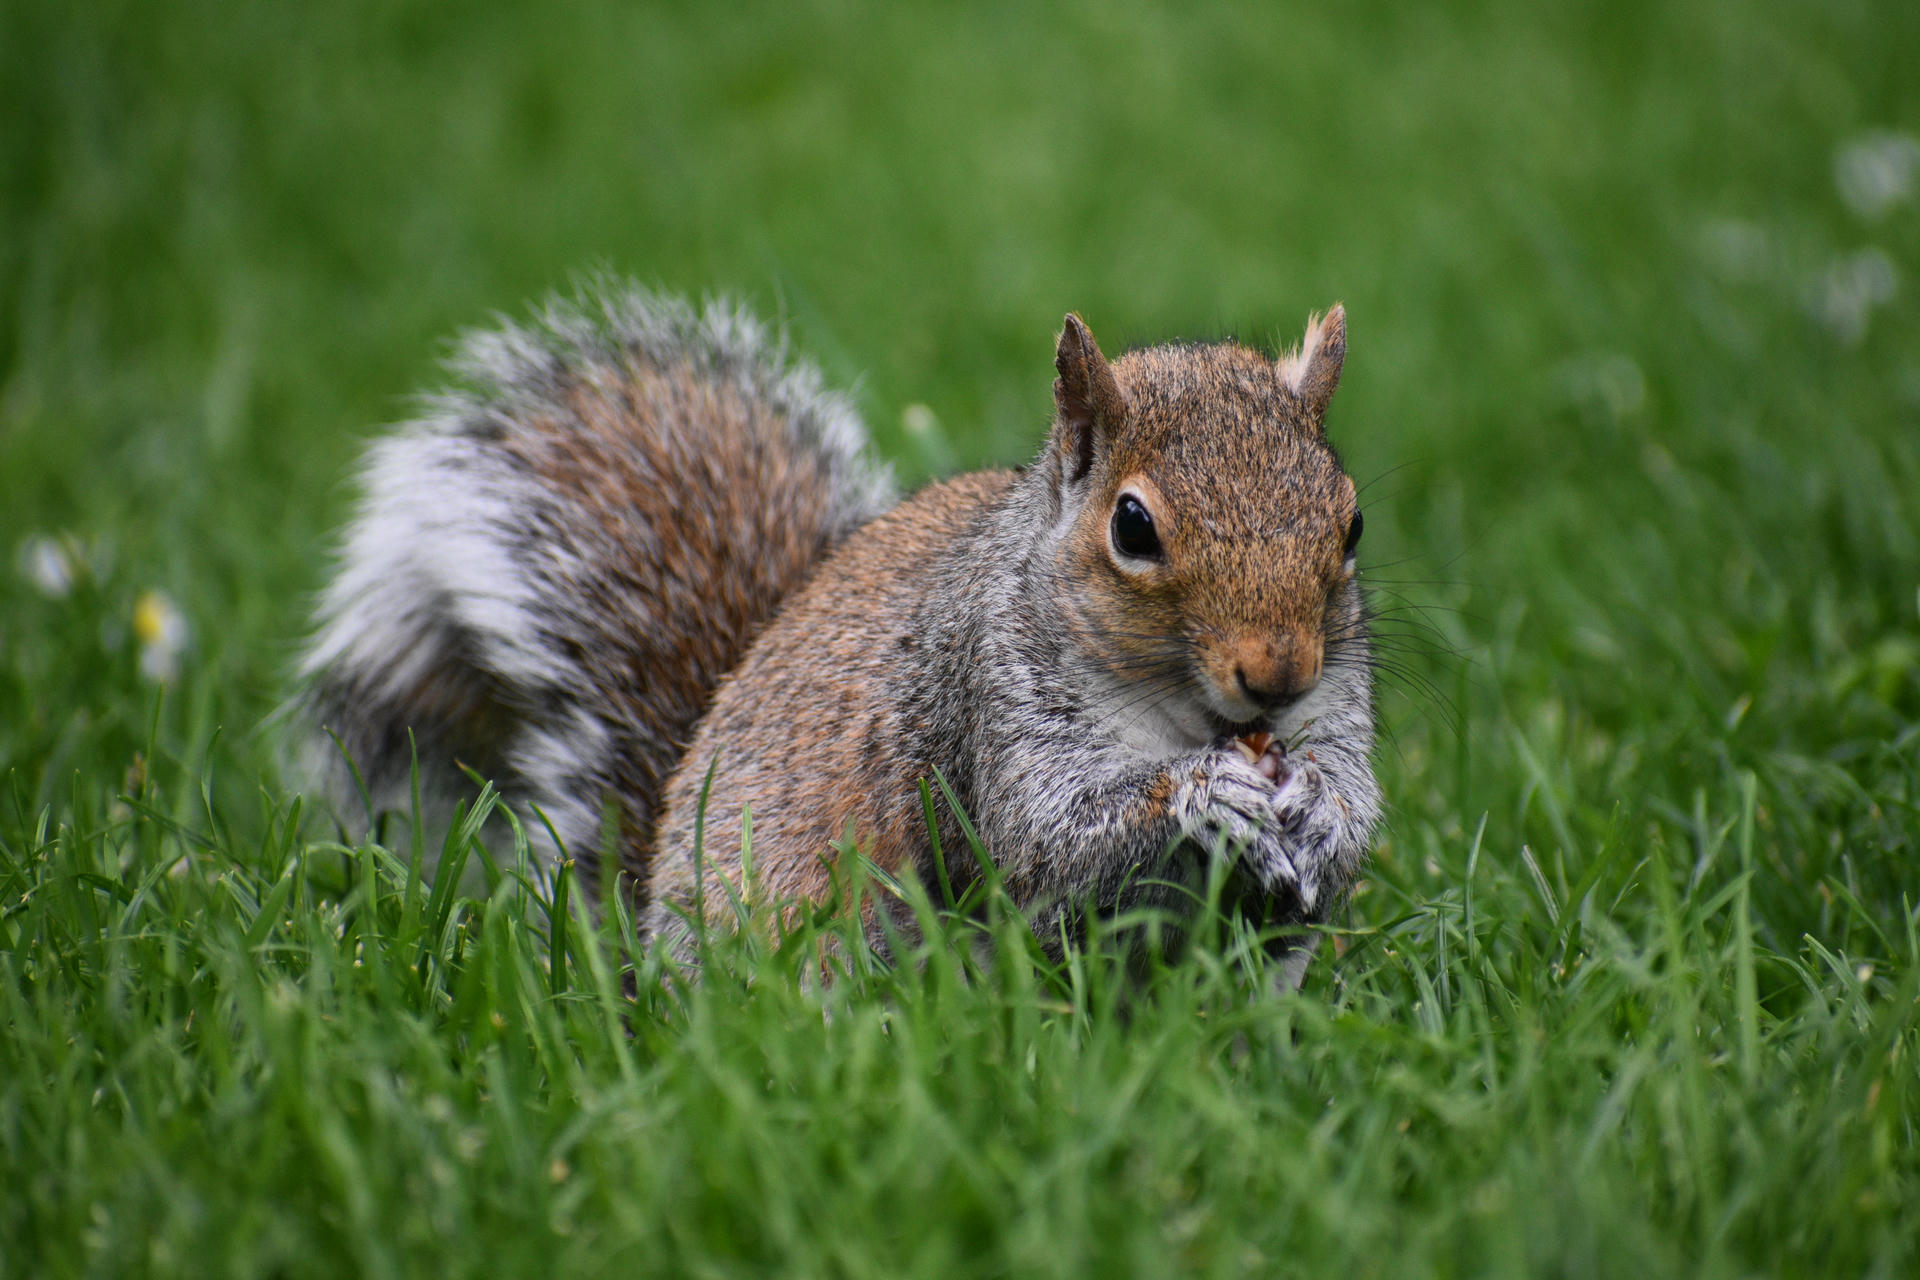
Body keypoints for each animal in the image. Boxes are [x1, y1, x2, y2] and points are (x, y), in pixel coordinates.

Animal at [298, 284, 1381, 988]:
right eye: (1133, 527)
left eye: (1353, 520)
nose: (1278, 673)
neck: (1182, 712)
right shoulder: (986, 703)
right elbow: (1054, 840)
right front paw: (1207, 793)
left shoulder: (1334, 711)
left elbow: (1351, 810)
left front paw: (1319, 810)